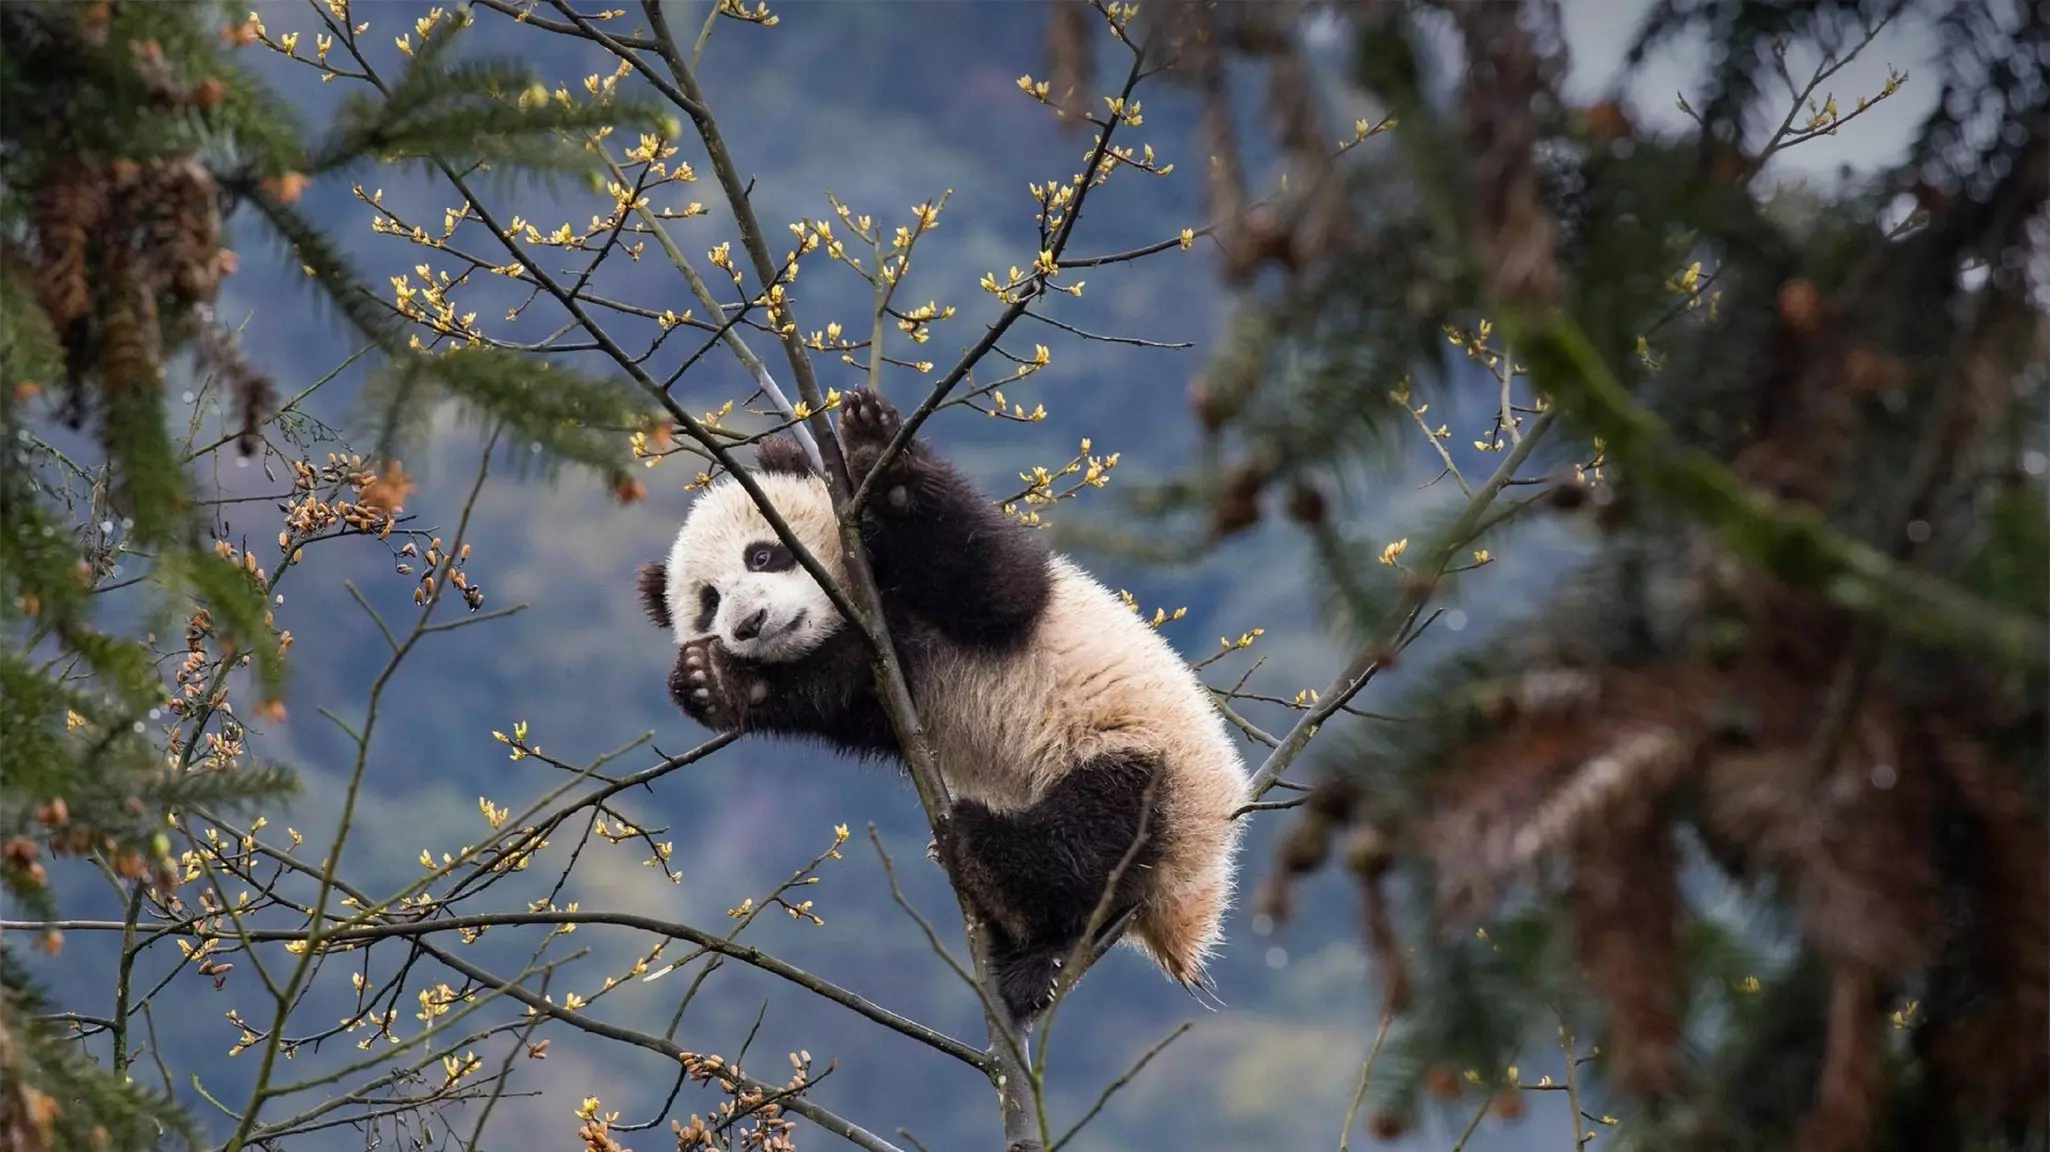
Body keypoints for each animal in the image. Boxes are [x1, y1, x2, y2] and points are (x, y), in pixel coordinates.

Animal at [635, 388, 1250, 1021]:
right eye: (710, 603)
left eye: (761, 555)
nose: (750, 624)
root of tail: (1190, 901)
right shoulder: (880, 678)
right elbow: (836, 694)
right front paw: (714, 680)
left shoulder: (985, 595)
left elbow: (991, 582)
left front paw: (875, 450)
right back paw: (1031, 952)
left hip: (1146, 760)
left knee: (1094, 835)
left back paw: (983, 858)